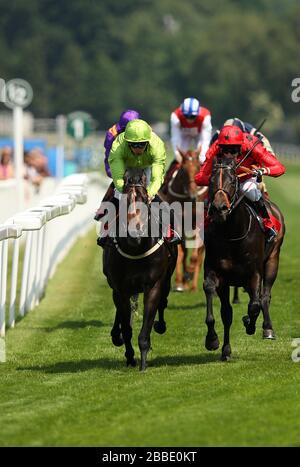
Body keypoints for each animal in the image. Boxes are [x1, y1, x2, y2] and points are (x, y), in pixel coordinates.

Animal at [102, 170, 177, 372]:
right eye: (125, 200)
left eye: (144, 200)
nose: (134, 233)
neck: (136, 249)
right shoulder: (120, 289)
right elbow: (127, 327)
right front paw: (130, 357)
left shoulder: (153, 285)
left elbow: (146, 327)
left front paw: (143, 360)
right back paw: (116, 335)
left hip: (167, 278)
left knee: (163, 302)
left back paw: (160, 326)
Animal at [159, 150, 206, 290]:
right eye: (184, 171)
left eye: (198, 168)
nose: (193, 194)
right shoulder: (179, 223)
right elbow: (181, 252)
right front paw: (180, 281)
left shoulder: (200, 224)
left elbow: (195, 255)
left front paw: (189, 274)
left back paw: (193, 285)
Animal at [203, 155, 284, 360]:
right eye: (210, 181)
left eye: (233, 180)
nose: (219, 208)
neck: (232, 233)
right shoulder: (217, 273)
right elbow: (222, 311)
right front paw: (215, 342)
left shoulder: (254, 273)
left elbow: (254, 305)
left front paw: (249, 323)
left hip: (273, 260)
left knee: (264, 297)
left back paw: (267, 329)